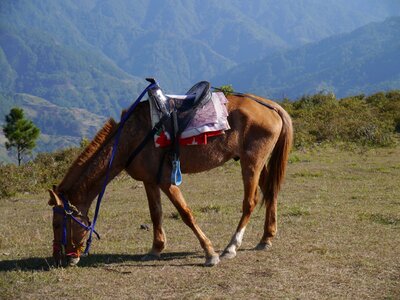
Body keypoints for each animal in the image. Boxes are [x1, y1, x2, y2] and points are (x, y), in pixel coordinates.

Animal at [47, 91, 292, 268]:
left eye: (58, 224)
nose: (60, 259)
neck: (130, 138)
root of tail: (269, 105)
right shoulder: (150, 181)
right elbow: (156, 214)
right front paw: (156, 248)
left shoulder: (167, 181)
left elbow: (186, 214)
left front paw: (210, 254)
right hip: (257, 163)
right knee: (271, 193)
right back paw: (266, 238)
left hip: (251, 163)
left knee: (250, 202)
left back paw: (231, 247)